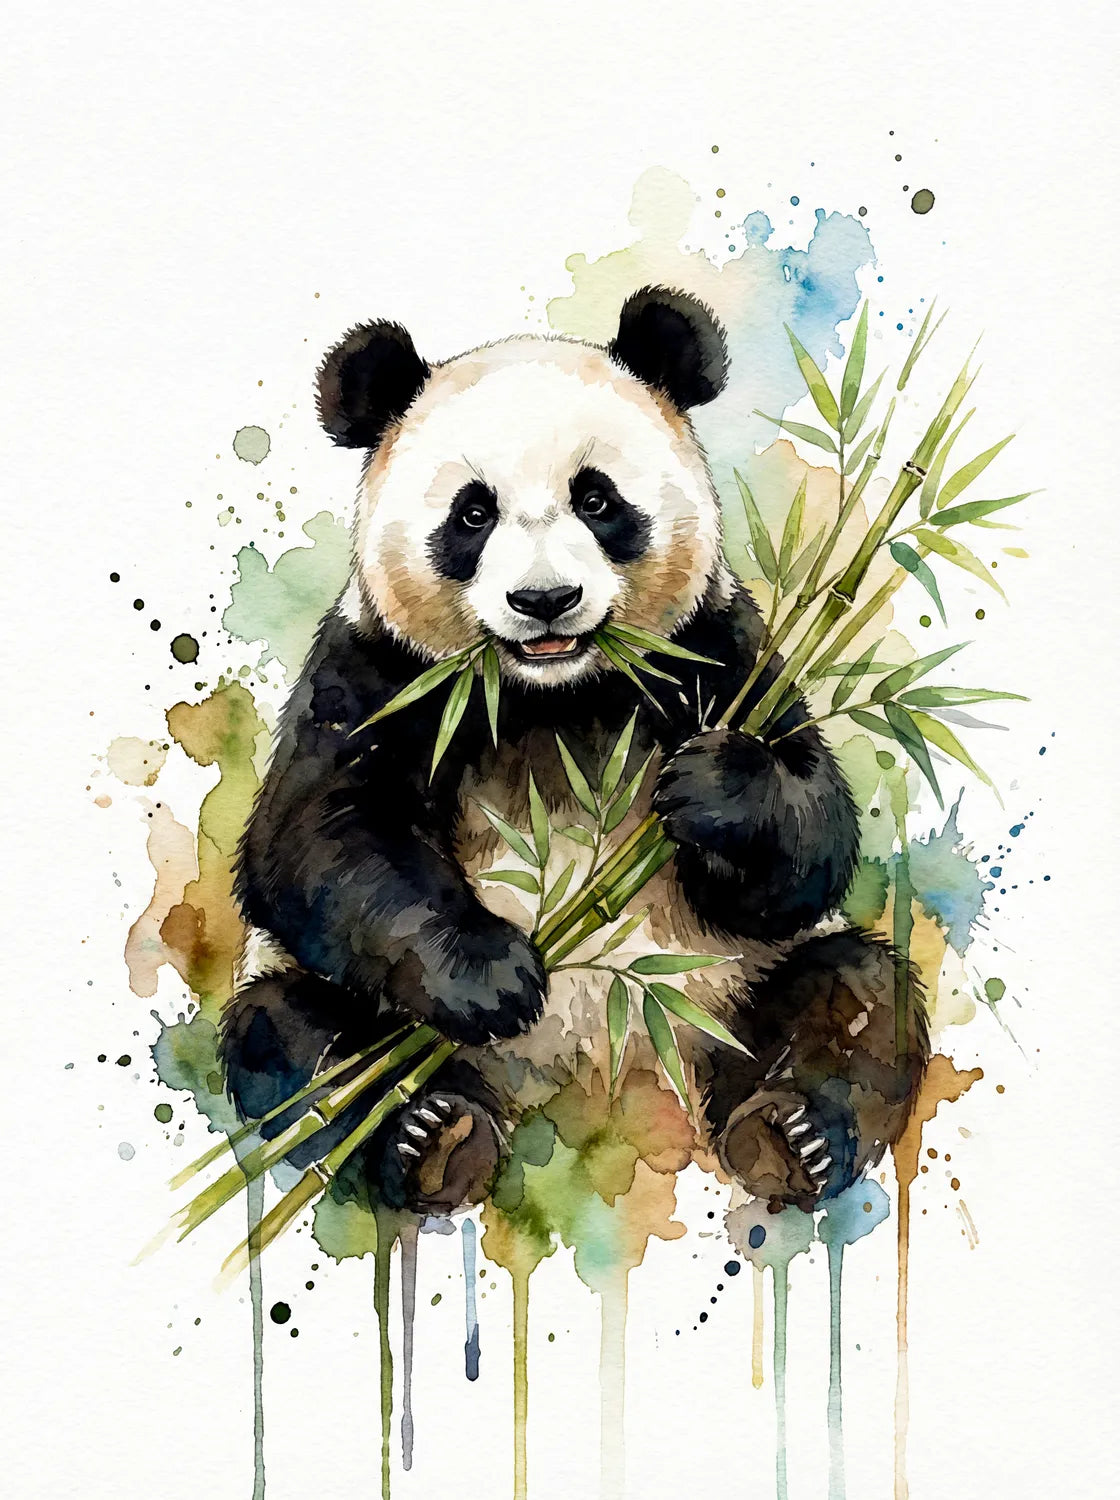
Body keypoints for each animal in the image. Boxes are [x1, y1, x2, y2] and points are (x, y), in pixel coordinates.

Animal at [222, 286, 929, 1219]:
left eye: (597, 501)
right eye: (473, 514)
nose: (545, 600)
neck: (552, 695)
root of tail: (591, 1089)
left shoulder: (713, 648)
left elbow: (809, 832)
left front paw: (717, 792)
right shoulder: (380, 671)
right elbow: (318, 840)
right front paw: (488, 974)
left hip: (730, 991)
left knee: (857, 994)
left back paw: (787, 1136)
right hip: (367, 1020)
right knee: (298, 1038)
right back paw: (432, 1139)